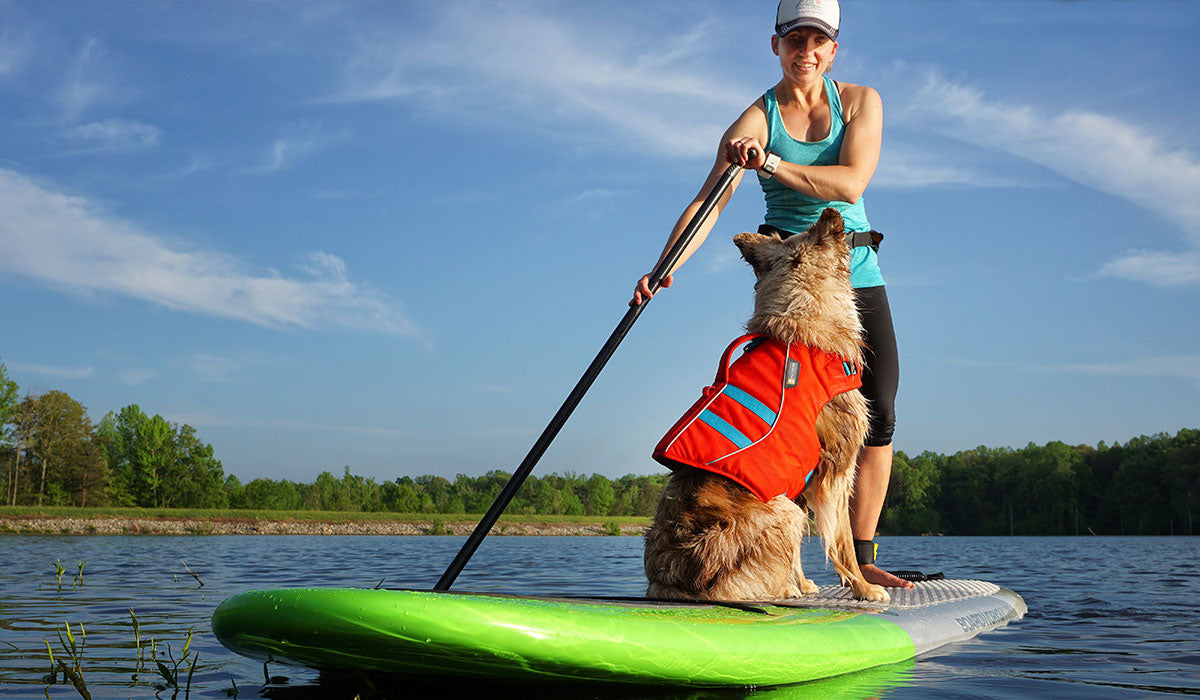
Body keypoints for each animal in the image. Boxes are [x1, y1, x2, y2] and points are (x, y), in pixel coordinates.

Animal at [648, 206, 892, 602]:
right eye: (821, 230)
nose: (832, 211)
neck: (802, 320)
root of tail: (675, 580)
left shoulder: (801, 476)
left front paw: (804, 583)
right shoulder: (837, 468)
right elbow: (841, 541)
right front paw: (864, 587)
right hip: (780, 508)